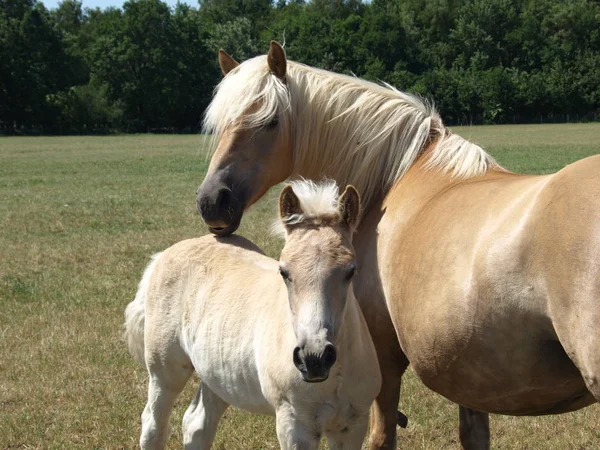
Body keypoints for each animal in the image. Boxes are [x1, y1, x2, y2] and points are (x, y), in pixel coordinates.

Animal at [124, 181, 382, 448]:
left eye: (350, 271)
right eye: (284, 272)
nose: (314, 358)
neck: (333, 377)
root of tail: (162, 256)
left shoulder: (352, 424)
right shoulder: (293, 423)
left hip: (218, 375)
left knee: (196, 424)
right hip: (165, 371)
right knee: (153, 425)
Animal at [197, 41, 600, 446]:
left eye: (270, 121)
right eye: (220, 124)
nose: (212, 201)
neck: (396, 179)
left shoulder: (384, 362)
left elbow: (382, 436)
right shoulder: (469, 376)